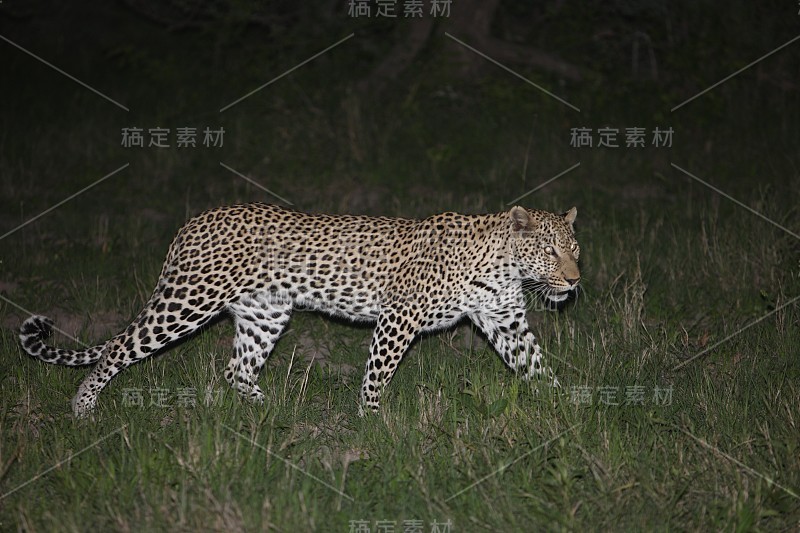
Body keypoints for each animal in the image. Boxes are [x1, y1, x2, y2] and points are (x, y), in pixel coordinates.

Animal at [18, 203, 580, 416]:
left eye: (575, 248)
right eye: (551, 250)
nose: (575, 281)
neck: (505, 267)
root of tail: (193, 221)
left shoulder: (505, 322)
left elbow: (536, 365)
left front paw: (567, 411)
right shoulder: (398, 318)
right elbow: (377, 374)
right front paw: (373, 421)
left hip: (263, 314)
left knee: (236, 368)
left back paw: (270, 411)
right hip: (187, 301)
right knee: (118, 346)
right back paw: (83, 408)